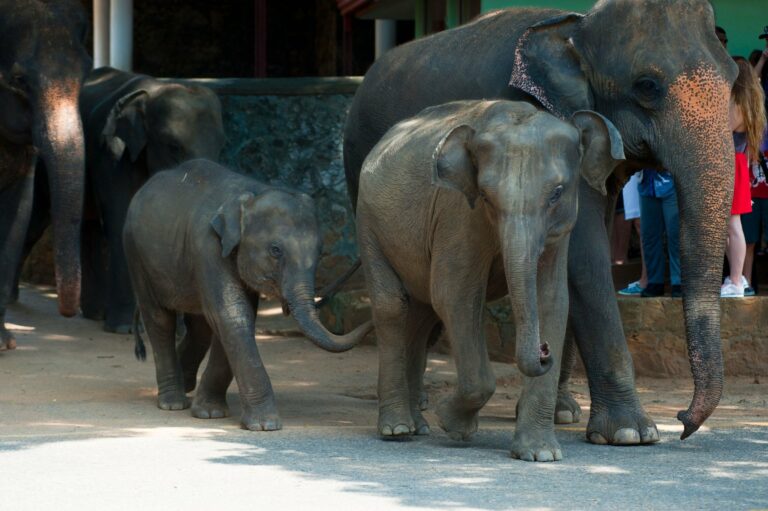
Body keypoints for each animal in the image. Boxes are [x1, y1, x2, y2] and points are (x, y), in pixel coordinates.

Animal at [16, 66, 226, 334]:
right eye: (173, 146)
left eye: (220, 148)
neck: (153, 92)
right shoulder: (113, 153)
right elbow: (121, 222)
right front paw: (124, 328)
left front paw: (176, 331)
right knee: (37, 220)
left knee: (89, 227)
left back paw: (94, 314)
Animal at [124, 159, 373, 430]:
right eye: (275, 250)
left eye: (320, 251)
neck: (252, 193)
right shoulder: (207, 247)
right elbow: (232, 315)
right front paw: (265, 425)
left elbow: (236, 317)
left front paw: (210, 412)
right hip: (136, 254)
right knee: (159, 319)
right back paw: (173, 402)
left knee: (199, 326)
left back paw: (186, 384)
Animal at [357, 100, 624, 461]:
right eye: (485, 195)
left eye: (557, 193)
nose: (544, 351)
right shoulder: (457, 213)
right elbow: (454, 294)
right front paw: (452, 423)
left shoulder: (560, 231)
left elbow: (552, 300)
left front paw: (540, 454)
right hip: (368, 224)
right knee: (393, 306)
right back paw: (398, 429)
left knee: (421, 314)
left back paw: (418, 426)